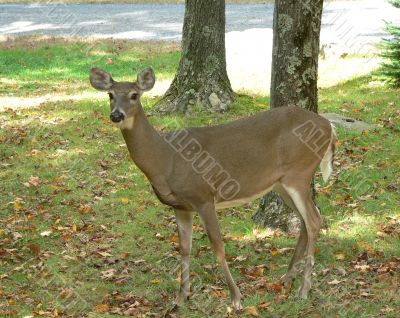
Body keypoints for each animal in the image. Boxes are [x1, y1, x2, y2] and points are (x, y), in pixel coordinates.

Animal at [89, 67, 336, 310]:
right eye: (110, 95)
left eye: (134, 95)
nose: (116, 115)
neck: (165, 159)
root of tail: (329, 126)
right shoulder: (181, 206)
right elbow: (184, 248)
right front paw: (180, 298)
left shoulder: (204, 196)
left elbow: (218, 246)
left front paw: (236, 299)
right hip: (282, 183)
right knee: (306, 221)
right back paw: (287, 278)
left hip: (299, 173)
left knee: (314, 220)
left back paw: (303, 290)